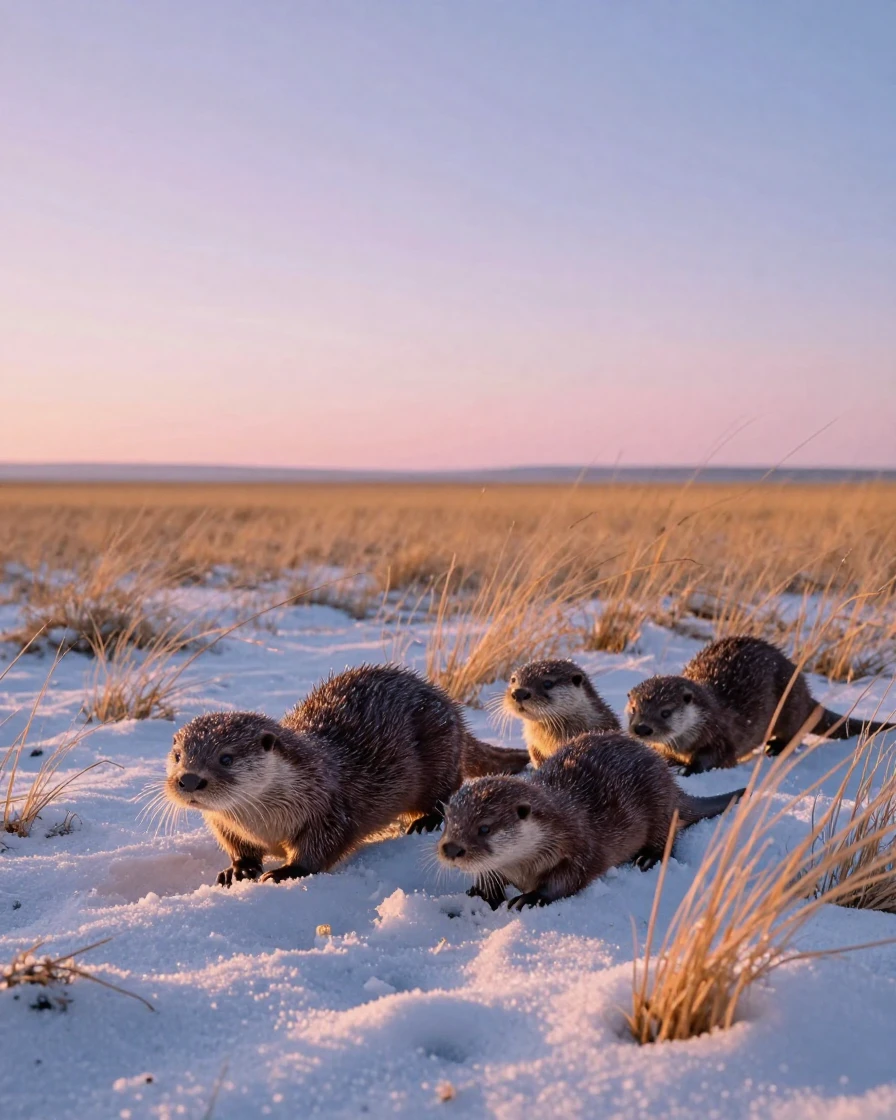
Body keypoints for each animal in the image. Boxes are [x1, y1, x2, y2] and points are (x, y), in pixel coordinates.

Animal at [165, 664, 530, 886]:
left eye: (226, 758)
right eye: (179, 755)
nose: (189, 779)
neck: (264, 823)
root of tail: (451, 705)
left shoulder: (329, 806)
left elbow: (323, 846)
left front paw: (286, 871)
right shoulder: (227, 826)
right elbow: (238, 846)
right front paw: (238, 869)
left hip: (439, 752)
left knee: (445, 790)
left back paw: (425, 821)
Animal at [439, 732, 744, 909]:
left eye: (484, 828)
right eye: (449, 821)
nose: (450, 848)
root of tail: (672, 783)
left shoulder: (579, 845)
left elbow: (571, 878)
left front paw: (530, 897)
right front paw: (481, 894)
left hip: (658, 802)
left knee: (667, 836)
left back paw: (648, 857)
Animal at [626, 635, 895, 774]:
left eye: (665, 712)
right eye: (634, 709)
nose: (642, 728)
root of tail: (804, 688)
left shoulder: (721, 735)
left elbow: (717, 758)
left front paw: (689, 769)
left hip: (790, 704)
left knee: (794, 733)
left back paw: (774, 748)